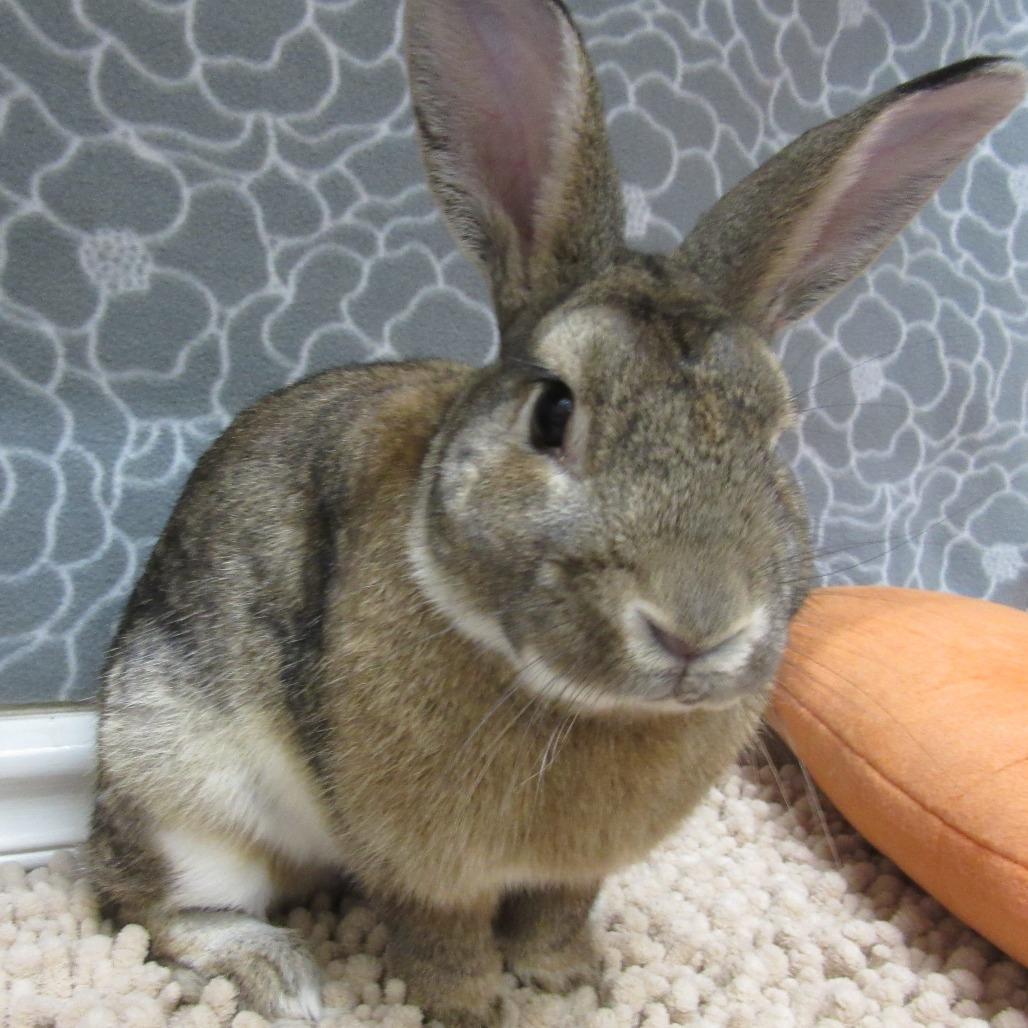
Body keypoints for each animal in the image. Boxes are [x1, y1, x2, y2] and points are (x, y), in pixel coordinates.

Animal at [87, 0, 1027, 1024]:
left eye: (777, 438)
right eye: (553, 413)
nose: (698, 628)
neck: (584, 701)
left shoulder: (571, 871)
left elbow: (555, 912)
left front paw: (570, 980)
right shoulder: (423, 865)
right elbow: (442, 935)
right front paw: (472, 1006)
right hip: (186, 789)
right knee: (154, 907)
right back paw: (281, 975)